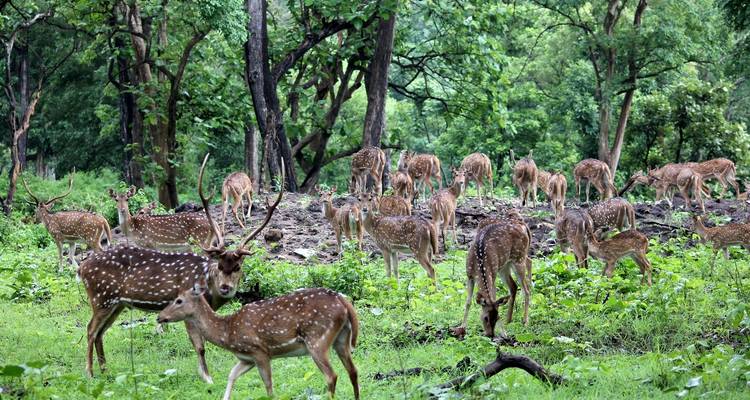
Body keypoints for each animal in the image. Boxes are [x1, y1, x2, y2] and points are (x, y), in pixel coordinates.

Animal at [80, 154, 283, 383]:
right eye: (219, 265)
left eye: (238, 266)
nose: (226, 288)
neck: (208, 289)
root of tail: (81, 269)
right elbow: (200, 346)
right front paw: (207, 378)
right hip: (101, 297)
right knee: (90, 329)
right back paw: (89, 373)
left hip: (116, 303)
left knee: (100, 332)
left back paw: (105, 370)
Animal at [158, 286, 359, 400]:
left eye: (178, 300)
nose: (160, 317)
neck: (227, 332)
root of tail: (344, 302)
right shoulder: (246, 358)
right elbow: (231, 375)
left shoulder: (260, 351)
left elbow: (268, 385)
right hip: (341, 339)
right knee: (353, 371)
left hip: (317, 339)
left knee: (331, 375)